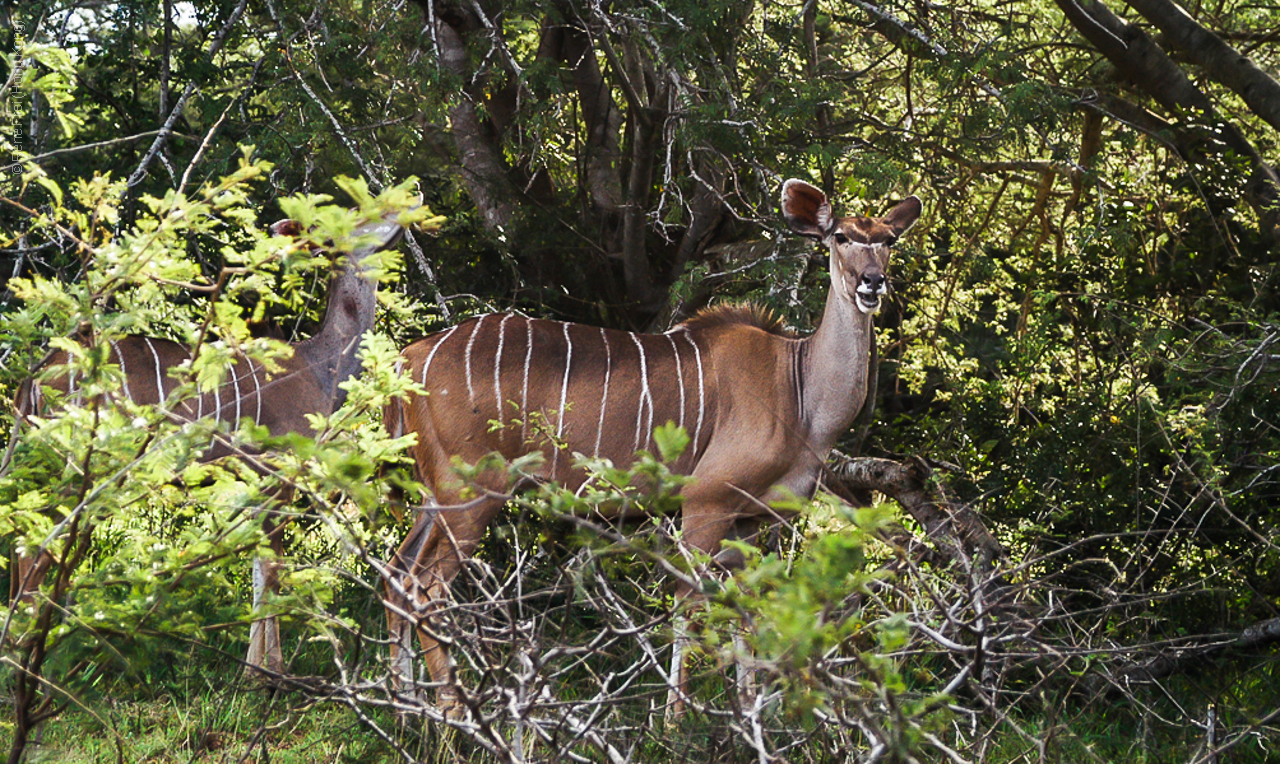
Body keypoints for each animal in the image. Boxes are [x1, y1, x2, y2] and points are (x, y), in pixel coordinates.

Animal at [7, 202, 412, 675]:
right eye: (358, 216)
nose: (410, 200)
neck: (320, 368)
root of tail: (35, 377)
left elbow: (257, 565)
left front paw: (256, 667)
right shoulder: (276, 470)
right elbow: (270, 565)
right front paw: (268, 672)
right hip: (78, 466)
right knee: (36, 545)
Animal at [378, 179, 921, 716]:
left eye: (888, 241)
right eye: (841, 237)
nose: (872, 282)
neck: (800, 389)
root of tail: (408, 357)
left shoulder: (747, 520)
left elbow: (743, 613)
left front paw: (748, 713)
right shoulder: (705, 501)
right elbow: (687, 604)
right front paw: (675, 721)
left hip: (434, 494)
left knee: (397, 574)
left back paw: (406, 711)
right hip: (472, 493)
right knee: (427, 588)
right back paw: (451, 718)